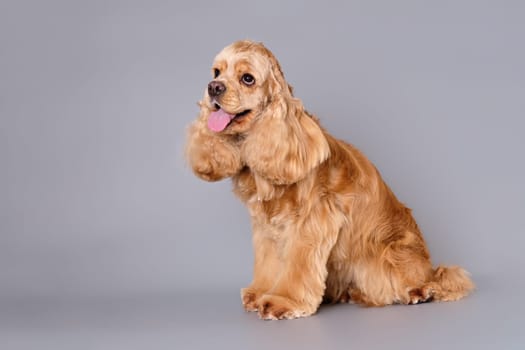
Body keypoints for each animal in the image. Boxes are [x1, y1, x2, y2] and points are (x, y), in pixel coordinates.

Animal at [185, 39, 474, 318]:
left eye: (247, 78)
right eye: (216, 72)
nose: (213, 88)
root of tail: (428, 268)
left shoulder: (311, 222)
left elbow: (297, 266)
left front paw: (282, 301)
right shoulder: (266, 227)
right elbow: (268, 262)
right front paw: (260, 293)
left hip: (388, 257)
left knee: (427, 281)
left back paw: (416, 292)